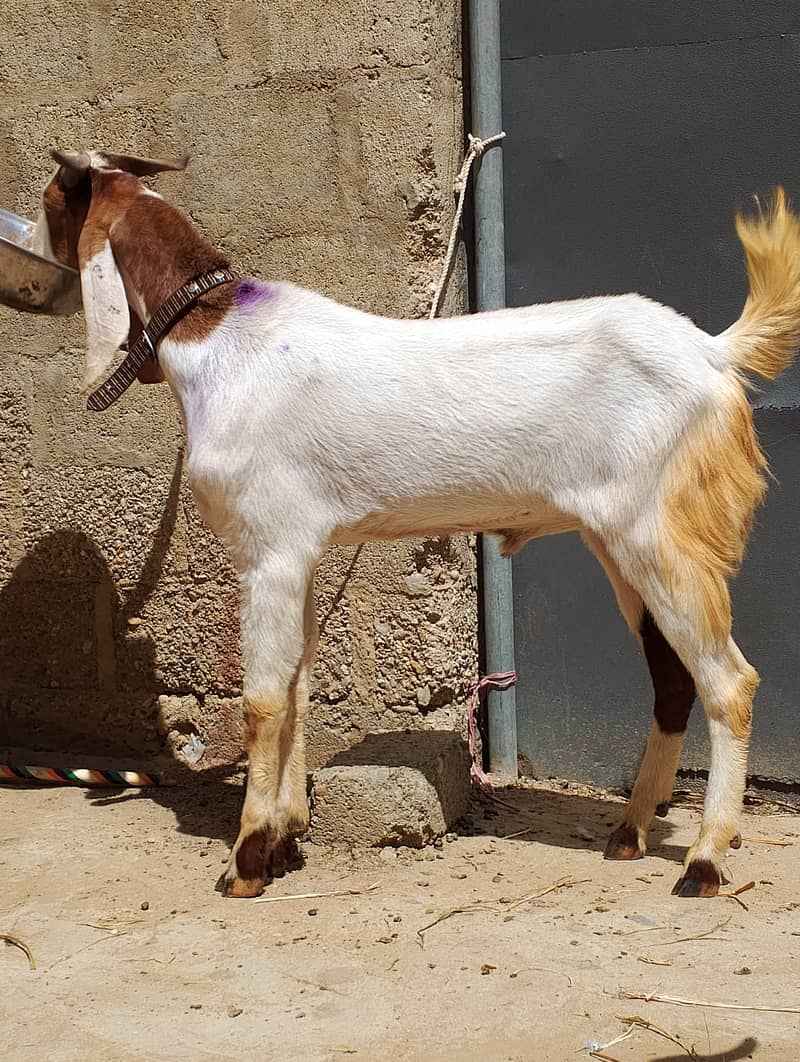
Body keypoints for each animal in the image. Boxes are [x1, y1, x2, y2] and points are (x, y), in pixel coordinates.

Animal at [40, 149, 800, 899]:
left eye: (51, 202)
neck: (216, 337)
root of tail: (714, 353)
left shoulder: (268, 550)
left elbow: (262, 701)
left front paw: (248, 859)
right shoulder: (302, 551)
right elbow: (298, 688)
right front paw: (287, 838)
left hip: (660, 530)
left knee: (729, 682)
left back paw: (704, 861)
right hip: (621, 540)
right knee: (674, 678)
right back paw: (631, 832)